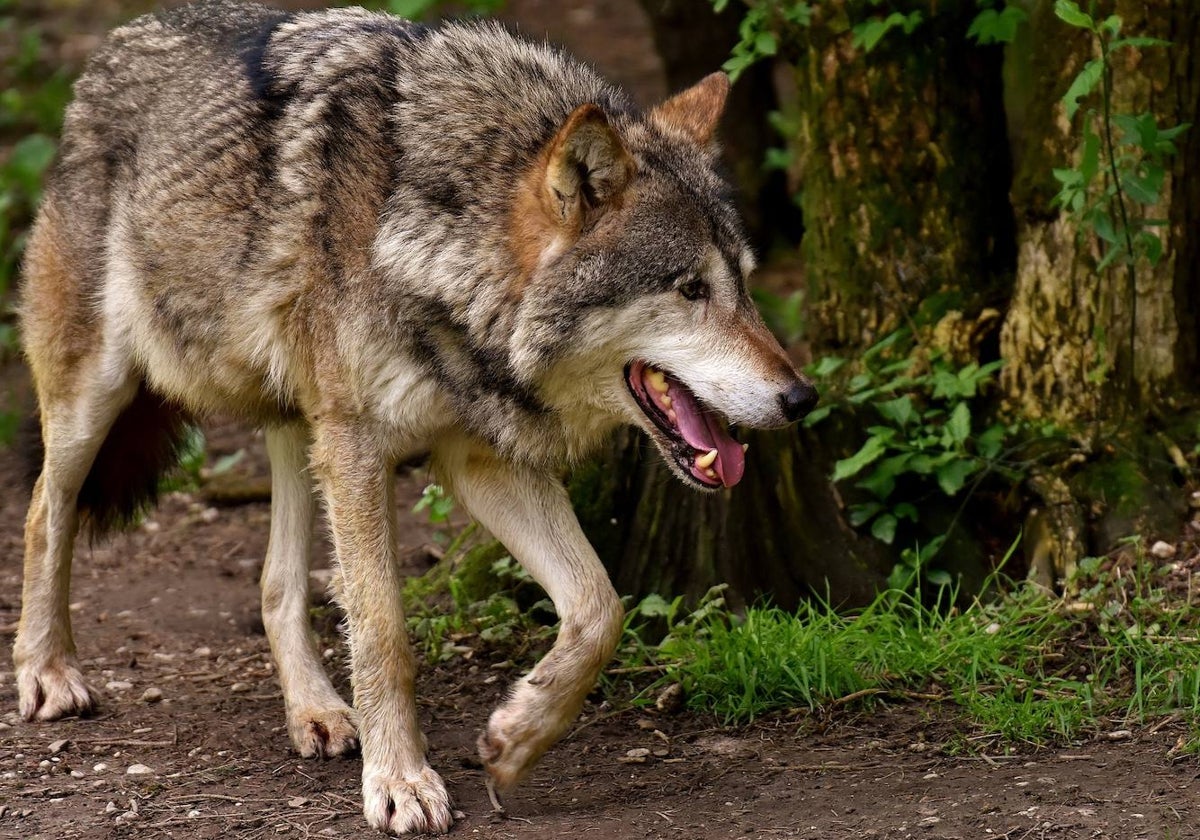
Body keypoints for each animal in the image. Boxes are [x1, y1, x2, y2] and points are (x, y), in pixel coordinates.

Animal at [14, 0, 816, 835]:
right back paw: (47, 672)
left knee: (276, 582)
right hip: (100, 396)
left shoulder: (479, 460)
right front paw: (399, 780)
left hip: (300, 427)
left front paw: (516, 739)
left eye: (746, 285)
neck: (441, 248)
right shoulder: (362, 448)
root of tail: (115, 45)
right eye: (690, 289)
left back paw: (317, 712)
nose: (801, 398)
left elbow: (601, 608)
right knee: (44, 511)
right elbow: (384, 633)